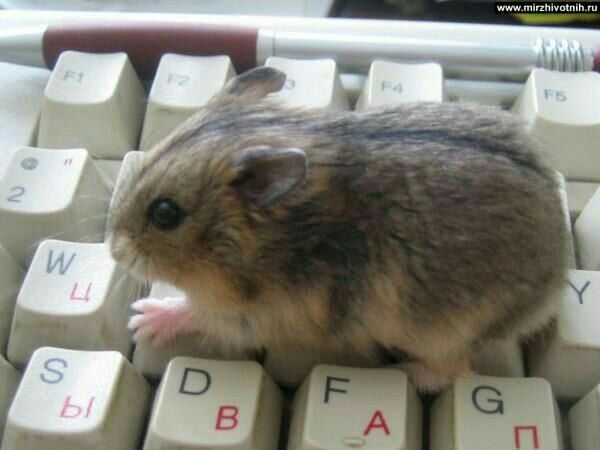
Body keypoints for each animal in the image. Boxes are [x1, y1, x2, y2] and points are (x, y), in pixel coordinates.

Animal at [108, 66, 572, 390]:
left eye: (165, 213)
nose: (113, 250)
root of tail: (555, 281)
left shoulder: (255, 317)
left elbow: (195, 313)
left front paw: (142, 319)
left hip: (444, 334)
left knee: (452, 370)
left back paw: (406, 372)